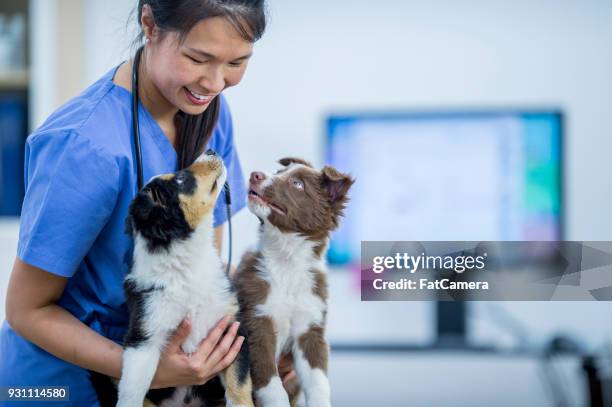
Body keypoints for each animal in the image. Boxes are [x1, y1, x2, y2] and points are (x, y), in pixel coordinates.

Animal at [117, 151, 253, 407]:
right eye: (180, 179)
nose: (211, 151)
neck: (185, 264)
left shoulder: (231, 327)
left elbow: (239, 385)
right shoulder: (143, 337)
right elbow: (131, 389)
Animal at [234, 158, 354, 407]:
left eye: (297, 184)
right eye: (278, 172)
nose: (255, 175)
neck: (286, 261)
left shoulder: (310, 329)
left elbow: (319, 382)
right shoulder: (258, 323)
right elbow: (272, 386)